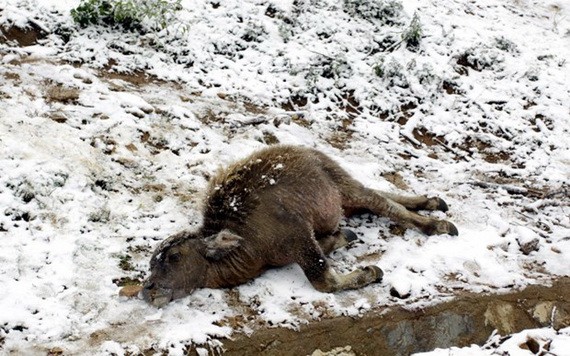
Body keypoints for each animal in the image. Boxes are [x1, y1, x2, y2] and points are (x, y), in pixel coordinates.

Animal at [143, 145, 458, 306]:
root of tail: (308, 151)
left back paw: (439, 224)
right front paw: (344, 236)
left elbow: (324, 280)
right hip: (345, 196)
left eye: (174, 256)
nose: (148, 289)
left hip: (343, 186)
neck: (249, 247)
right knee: (380, 196)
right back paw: (432, 201)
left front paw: (371, 271)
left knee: (384, 203)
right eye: (151, 262)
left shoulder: (299, 236)